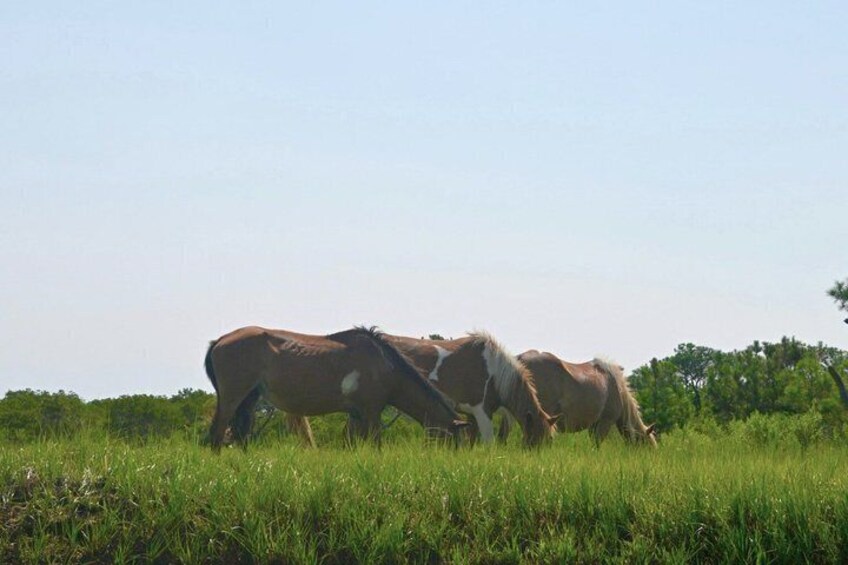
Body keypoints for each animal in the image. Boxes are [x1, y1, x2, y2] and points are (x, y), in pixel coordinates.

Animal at [204, 326, 468, 450]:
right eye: (454, 440)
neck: (384, 365)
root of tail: (220, 340)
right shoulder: (371, 412)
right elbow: (376, 444)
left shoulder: (357, 414)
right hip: (232, 397)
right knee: (217, 432)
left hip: (249, 399)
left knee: (241, 434)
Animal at [372, 332, 557, 447]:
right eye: (535, 439)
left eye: (549, 440)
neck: (494, 372)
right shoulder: (482, 412)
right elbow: (489, 444)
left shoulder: (471, 415)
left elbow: (471, 443)